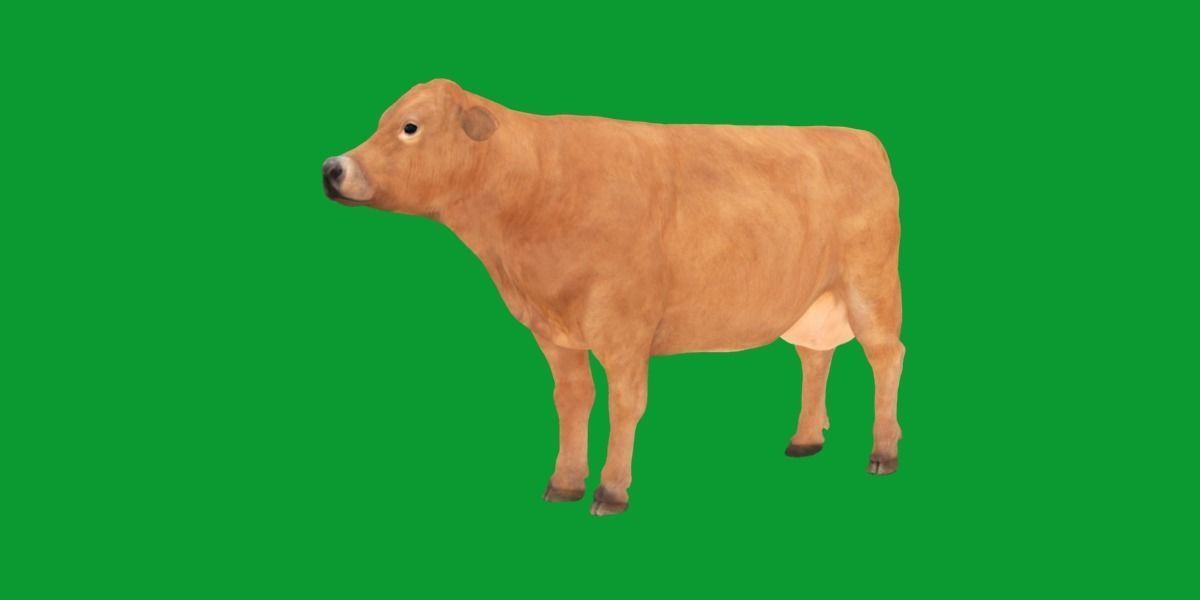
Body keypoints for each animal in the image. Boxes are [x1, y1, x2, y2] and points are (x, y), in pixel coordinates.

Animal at [322, 79, 905, 516]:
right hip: (813, 303)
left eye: (410, 126)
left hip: (871, 284)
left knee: (886, 356)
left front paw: (611, 490)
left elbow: (626, 404)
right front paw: (564, 482)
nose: (332, 168)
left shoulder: (625, 327)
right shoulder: (555, 334)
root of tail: (858, 137)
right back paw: (806, 439)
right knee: (815, 355)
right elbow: (572, 399)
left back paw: (883, 451)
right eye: (383, 121)